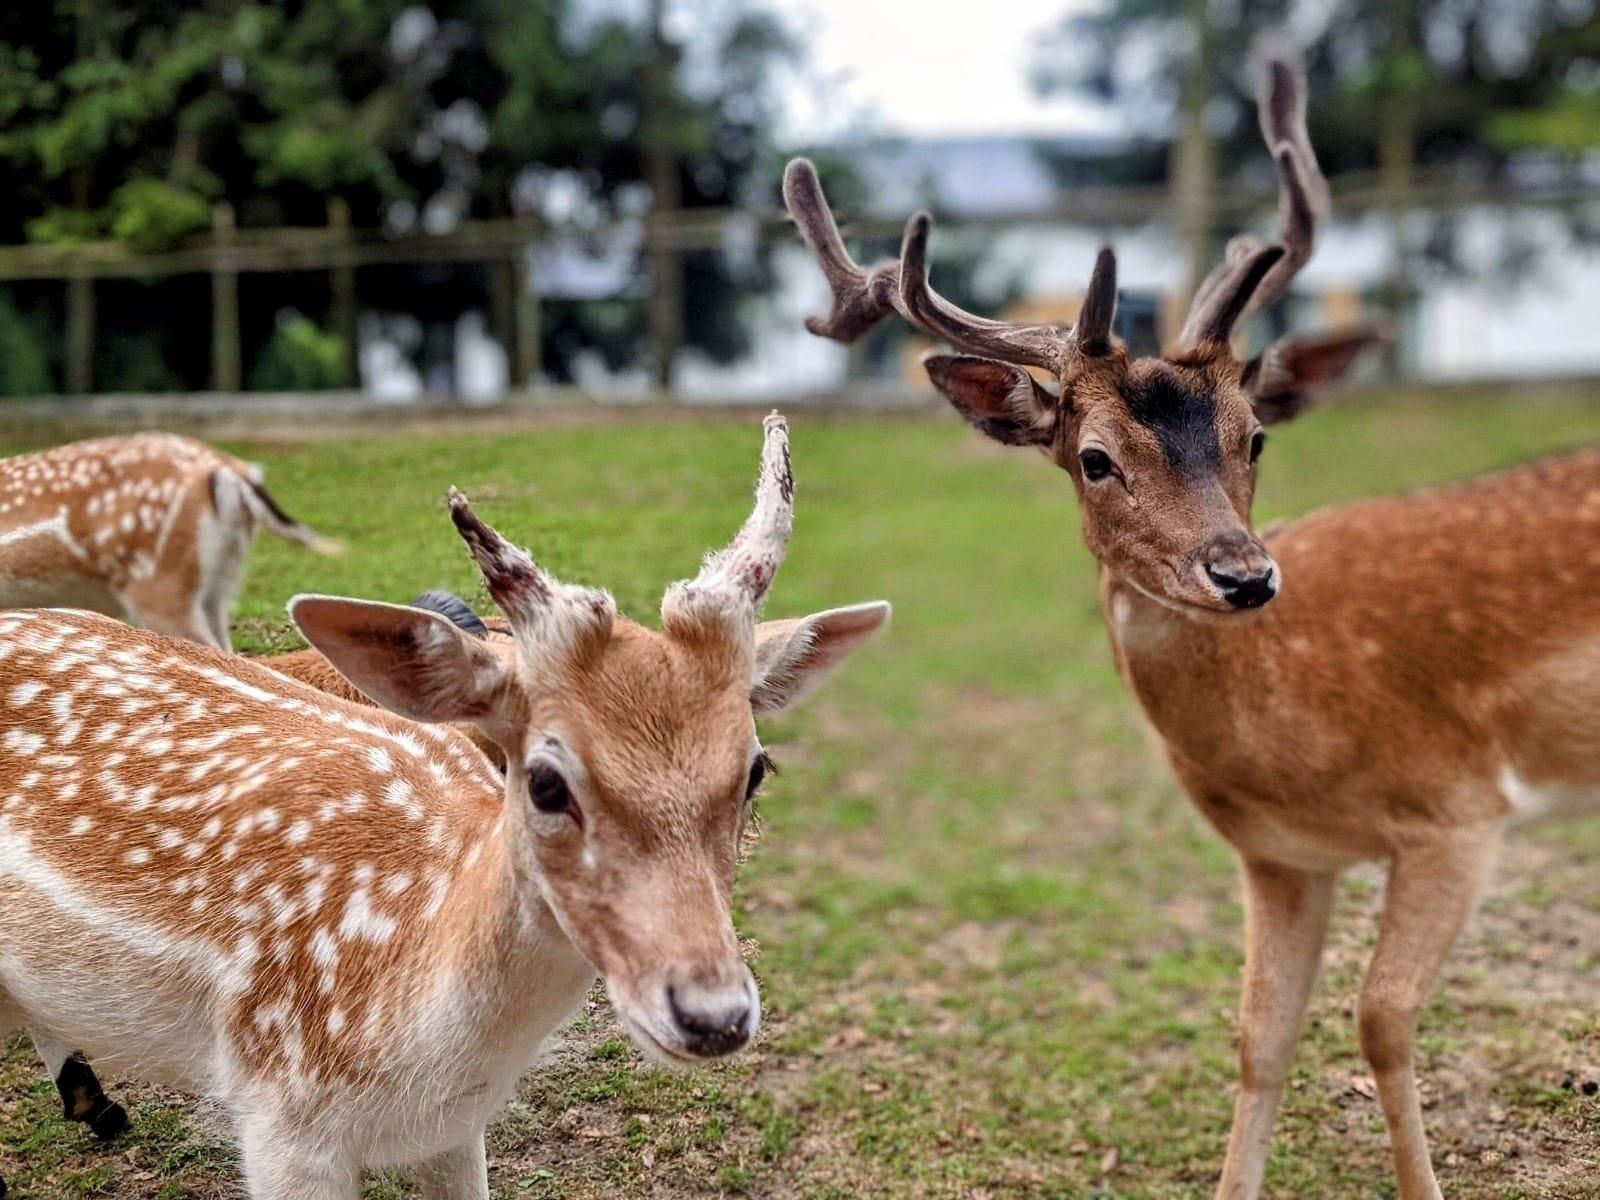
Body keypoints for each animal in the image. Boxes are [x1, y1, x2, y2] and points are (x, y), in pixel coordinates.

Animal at [780, 49, 1593, 1200]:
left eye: (1256, 436)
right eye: (1093, 458)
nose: (1244, 574)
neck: (1300, 737)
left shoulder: (1461, 810)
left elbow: (1382, 1022)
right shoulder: (1281, 857)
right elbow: (1261, 1037)